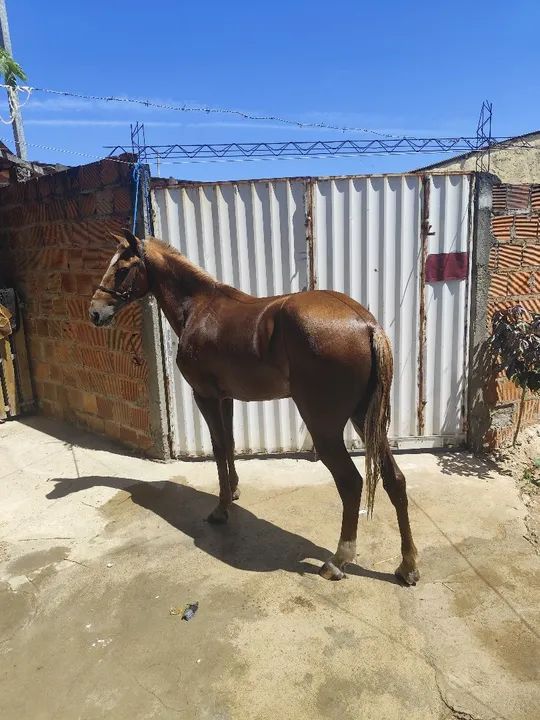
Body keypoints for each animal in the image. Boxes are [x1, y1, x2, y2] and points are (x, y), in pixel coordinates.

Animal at [89, 228, 419, 585]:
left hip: (324, 427)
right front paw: (232, 492)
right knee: (395, 480)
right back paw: (407, 565)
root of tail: (367, 325)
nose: (94, 312)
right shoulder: (226, 398)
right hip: (366, 419)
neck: (199, 307)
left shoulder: (205, 396)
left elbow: (219, 447)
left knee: (351, 483)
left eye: (122, 269)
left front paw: (221, 510)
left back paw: (338, 560)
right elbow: (230, 444)